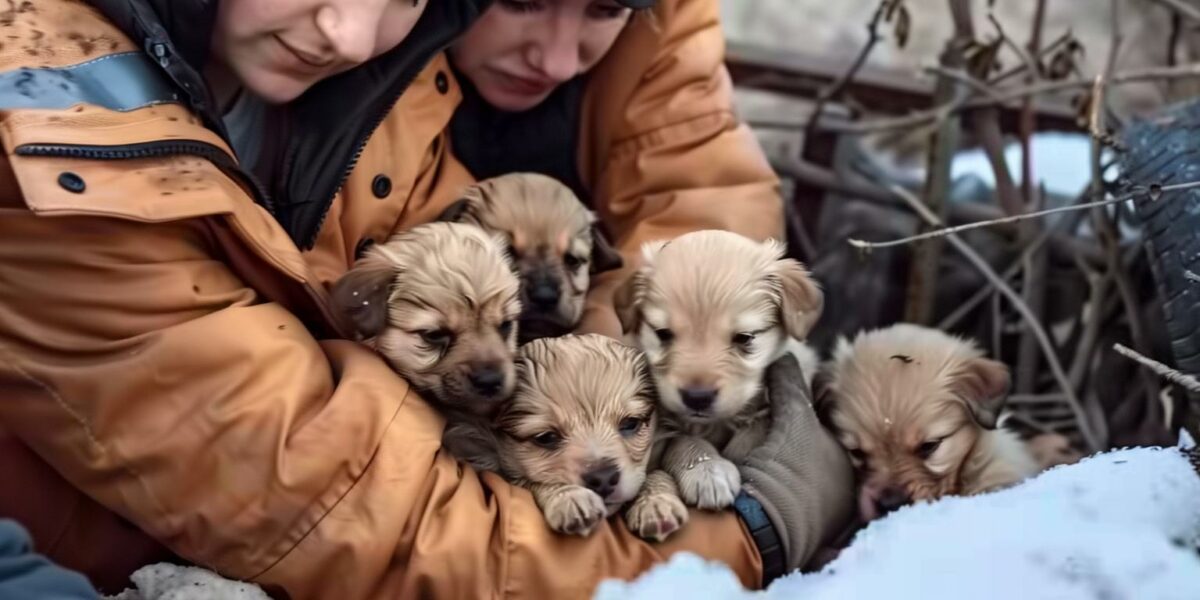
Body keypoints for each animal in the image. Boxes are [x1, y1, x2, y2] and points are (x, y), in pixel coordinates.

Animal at [444, 333, 686, 540]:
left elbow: (656, 473)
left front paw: (656, 503)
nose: (603, 478)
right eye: (545, 437)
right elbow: (533, 481)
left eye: (630, 424)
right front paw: (570, 497)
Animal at [619, 229, 825, 511]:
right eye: (663, 334)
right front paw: (707, 470)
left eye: (744, 338)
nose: (697, 397)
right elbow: (683, 439)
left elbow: (755, 428)